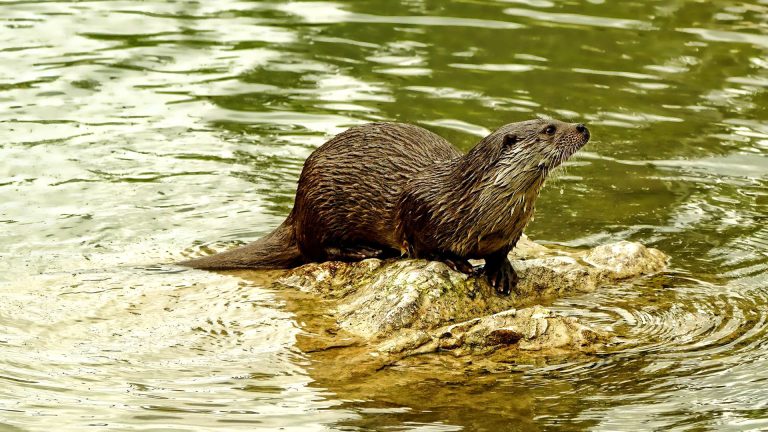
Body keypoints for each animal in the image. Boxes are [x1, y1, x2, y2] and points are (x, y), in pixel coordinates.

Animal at [181, 118, 590, 295]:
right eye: (551, 128)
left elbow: (500, 253)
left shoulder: (510, 232)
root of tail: (296, 209)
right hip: (321, 205)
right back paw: (366, 250)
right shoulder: (420, 210)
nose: (583, 128)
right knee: (317, 249)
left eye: (558, 118)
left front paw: (501, 271)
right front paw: (455, 261)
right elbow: (424, 246)